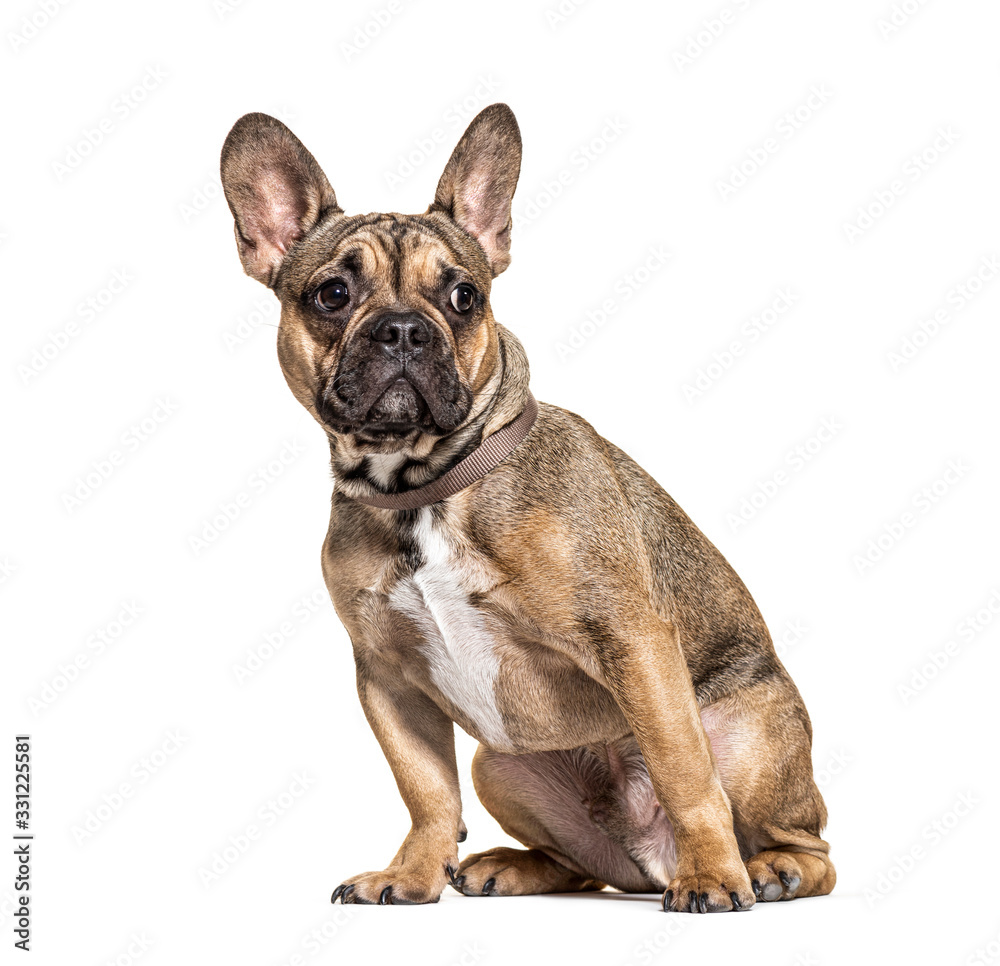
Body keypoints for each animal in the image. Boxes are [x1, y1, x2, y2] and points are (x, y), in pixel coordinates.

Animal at [221, 106, 836, 916]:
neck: (425, 488)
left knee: (802, 841)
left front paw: (712, 876)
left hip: (751, 733)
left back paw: (762, 871)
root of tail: (651, 857)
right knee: (582, 865)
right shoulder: (387, 676)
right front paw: (411, 876)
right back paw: (506, 867)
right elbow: (426, 790)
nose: (403, 329)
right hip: (502, 766)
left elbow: (682, 769)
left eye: (464, 297)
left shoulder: (633, 641)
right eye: (331, 295)